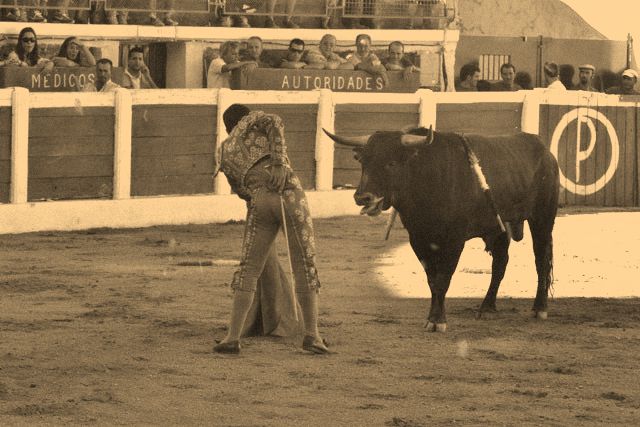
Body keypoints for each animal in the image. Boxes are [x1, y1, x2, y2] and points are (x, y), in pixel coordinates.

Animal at [322, 129, 556, 332]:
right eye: (364, 162)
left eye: (391, 163)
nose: (362, 197)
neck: (427, 180)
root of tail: (545, 151)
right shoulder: (419, 239)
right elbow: (432, 280)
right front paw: (432, 318)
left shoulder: (454, 241)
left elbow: (444, 278)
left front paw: (438, 321)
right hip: (498, 227)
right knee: (500, 262)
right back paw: (487, 307)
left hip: (542, 218)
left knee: (541, 260)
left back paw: (539, 309)